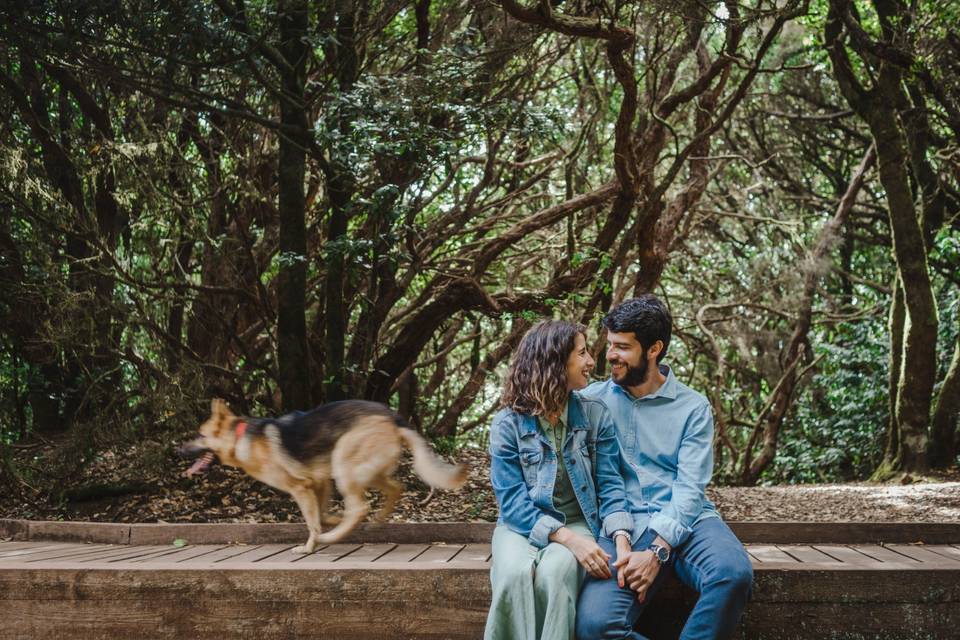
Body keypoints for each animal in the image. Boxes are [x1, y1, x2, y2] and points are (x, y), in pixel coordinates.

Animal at [183, 398, 468, 552]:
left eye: (200, 435)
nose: (178, 449)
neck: (241, 437)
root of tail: (393, 418)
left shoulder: (301, 488)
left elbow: (313, 522)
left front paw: (310, 546)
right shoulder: (319, 482)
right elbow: (320, 515)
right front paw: (332, 521)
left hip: (344, 462)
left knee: (360, 506)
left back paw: (333, 535)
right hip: (364, 472)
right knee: (395, 488)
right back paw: (375, 521)